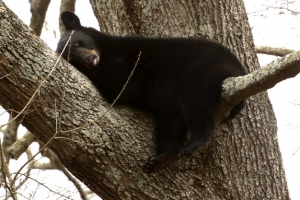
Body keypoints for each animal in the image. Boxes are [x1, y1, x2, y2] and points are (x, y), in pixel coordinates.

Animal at [56, 10, 246, 173]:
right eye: (71, 57)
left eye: (79, 43)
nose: (90, 59)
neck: (108, 51)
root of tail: (238, 69)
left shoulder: (132, 59)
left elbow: (123, 86)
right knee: (171, 122)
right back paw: (160, 160)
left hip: (205, 71)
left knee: (197, 103)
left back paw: (195, 142)